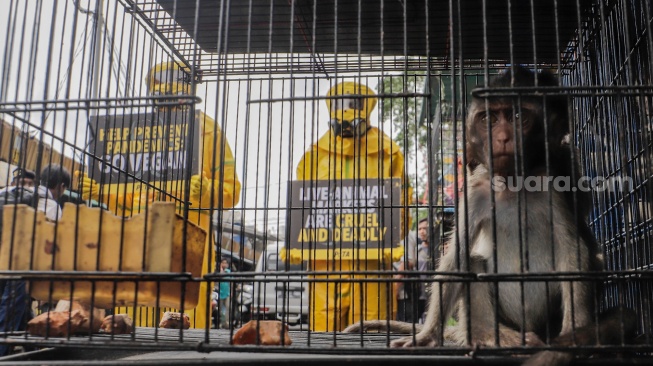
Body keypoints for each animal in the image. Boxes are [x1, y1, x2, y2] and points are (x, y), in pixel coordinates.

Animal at [346, 67, 636, 364]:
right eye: (489, 119)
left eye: (518, 117)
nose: (503, 137)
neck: (512, 185)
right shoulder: (476, 194)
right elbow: (457, 258)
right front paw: (426, 336)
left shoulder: (551, 188)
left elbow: (572, 249)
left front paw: (575, 335)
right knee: (473, 263)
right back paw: (490, 336)